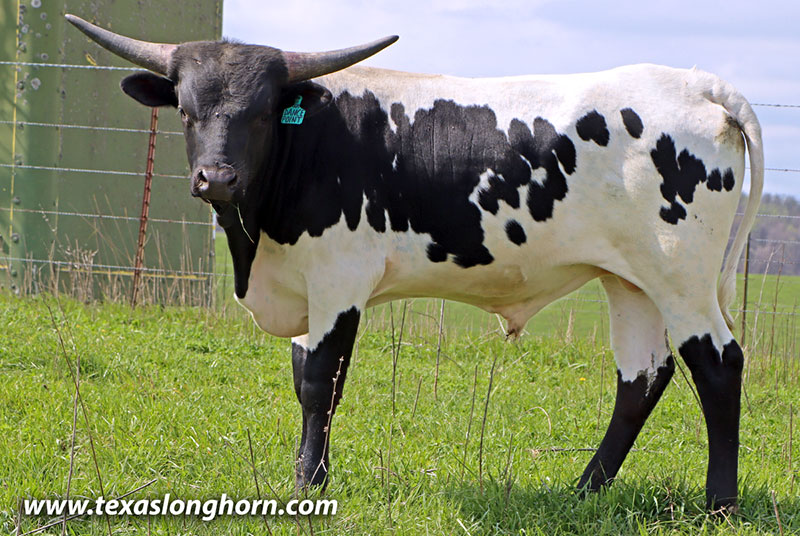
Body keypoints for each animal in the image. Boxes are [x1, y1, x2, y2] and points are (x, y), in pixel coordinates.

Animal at [66, 14, 764, 512]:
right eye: (186, 111)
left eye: (263, 112)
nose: (216, 178)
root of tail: (696, 82)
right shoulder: (304, 288)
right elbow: (301, 375)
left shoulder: (339, 280)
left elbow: (320, 381)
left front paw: (309, 486)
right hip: (630, 281)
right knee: (642, 377)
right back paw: (584, 490)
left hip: (682, 277)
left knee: (717, 363)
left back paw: (718, 504)